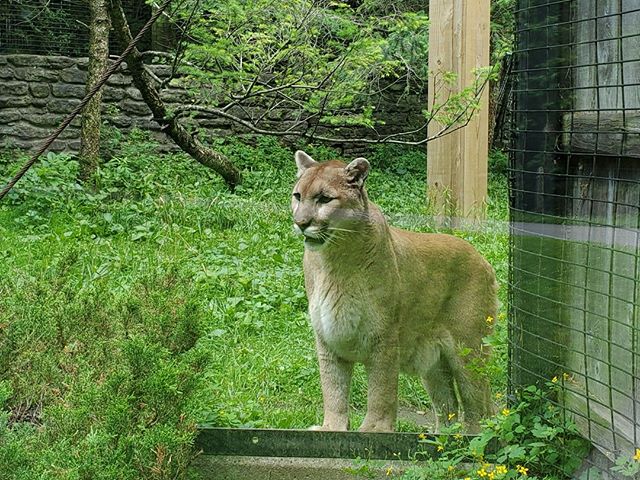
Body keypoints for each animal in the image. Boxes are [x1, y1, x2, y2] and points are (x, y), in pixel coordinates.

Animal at [292, 150, 498, 432]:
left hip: (468, 349)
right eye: (297, 196)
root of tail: (482, 258)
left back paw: (471, 438)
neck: (334, 261)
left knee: (478, 403)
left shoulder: (384, 339)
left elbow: (381, 390)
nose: (300, 223)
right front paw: (332, 428)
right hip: (434, 365)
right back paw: (441, 437)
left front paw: (374, 430)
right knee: (448, 404)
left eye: (324, 198)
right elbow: (333, 390)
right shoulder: (328, 339)